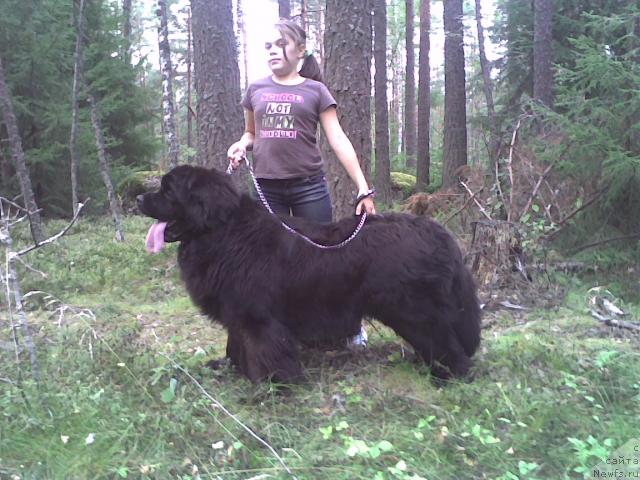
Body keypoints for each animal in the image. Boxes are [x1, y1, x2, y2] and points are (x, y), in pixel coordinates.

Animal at [139, 167, 480, 384]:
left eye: (168, 190)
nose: (139, 199)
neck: (222, 232)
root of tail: (438, 231)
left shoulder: (258, 317)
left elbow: (263, 351)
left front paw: (270, 388)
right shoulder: (237, 311)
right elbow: (236, 344)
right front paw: (230, 369)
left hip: (414, 310)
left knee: (445, 343)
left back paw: (450, 377)